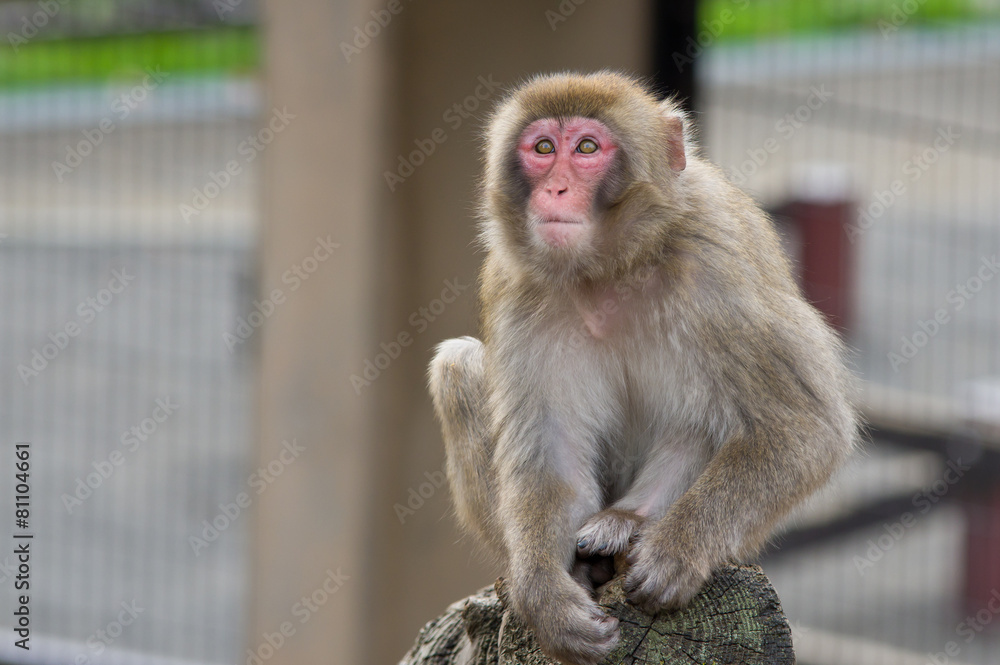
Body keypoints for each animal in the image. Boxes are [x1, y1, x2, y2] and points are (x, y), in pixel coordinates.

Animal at [428, 71, 857, 665]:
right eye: (544, 148)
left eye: (587, 148)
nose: (555, 189)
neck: (612, 267)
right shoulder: (517, 286)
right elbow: (553, 456)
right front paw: (545, 595)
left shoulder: (717, 264)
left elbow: (804, 427)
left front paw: (679, 551)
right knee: (458, 366)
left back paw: (630, 523)